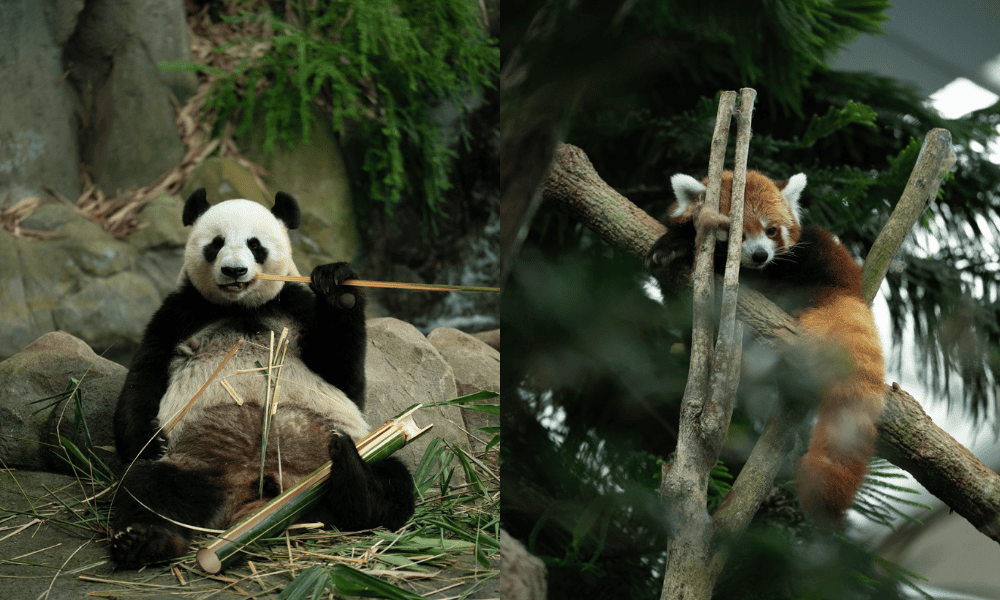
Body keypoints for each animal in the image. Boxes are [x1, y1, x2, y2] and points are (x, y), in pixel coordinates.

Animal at [110, 188, 414, 568]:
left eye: (255, 245)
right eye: (216, 244)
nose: (234, 270)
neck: (241, 307)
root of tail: (258, 492)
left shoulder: (296, 308)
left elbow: (345, 379)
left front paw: (339, 289)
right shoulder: (180, 312)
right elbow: (145, 375)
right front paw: (149, 440)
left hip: (335, 459)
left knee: (392, 485)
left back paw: (354, 478)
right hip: (198, 463)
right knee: (147, 487)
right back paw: (145, 540)